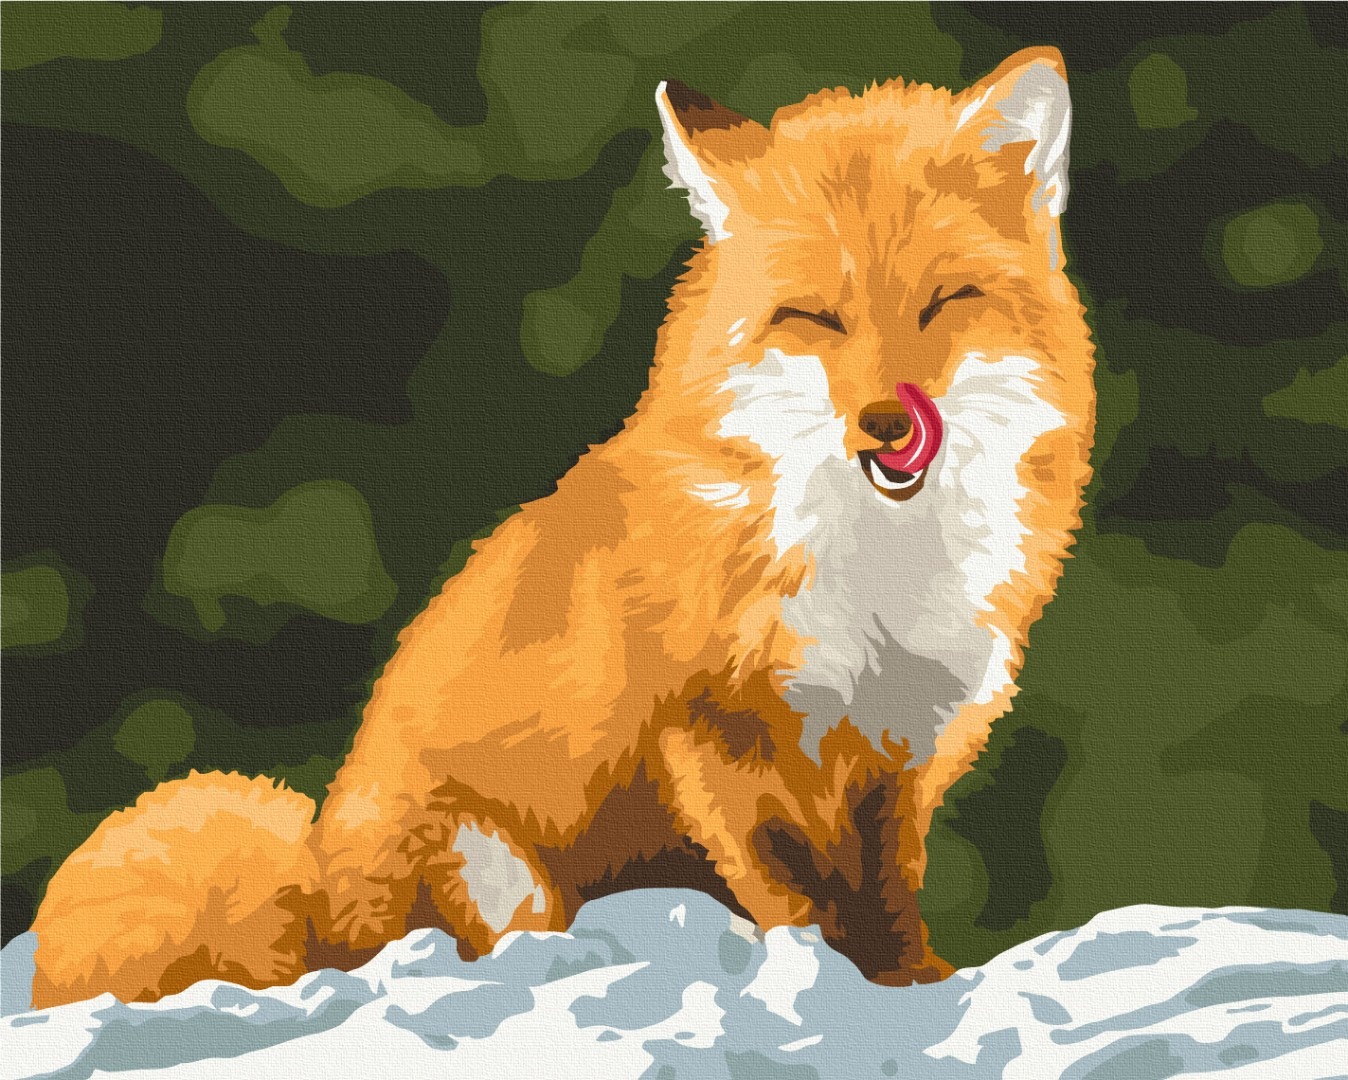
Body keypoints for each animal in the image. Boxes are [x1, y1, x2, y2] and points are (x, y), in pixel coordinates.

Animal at [30, 47, 1096, 1008]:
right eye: (815, 317)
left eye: (944, 301)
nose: (887, 421)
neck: (879, 574)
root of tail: (322, 906)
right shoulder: (712, 733)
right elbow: (786, 897)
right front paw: (818, 985)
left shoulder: (901, 752)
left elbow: (889, 903)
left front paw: (918, 987)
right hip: (491, 869)